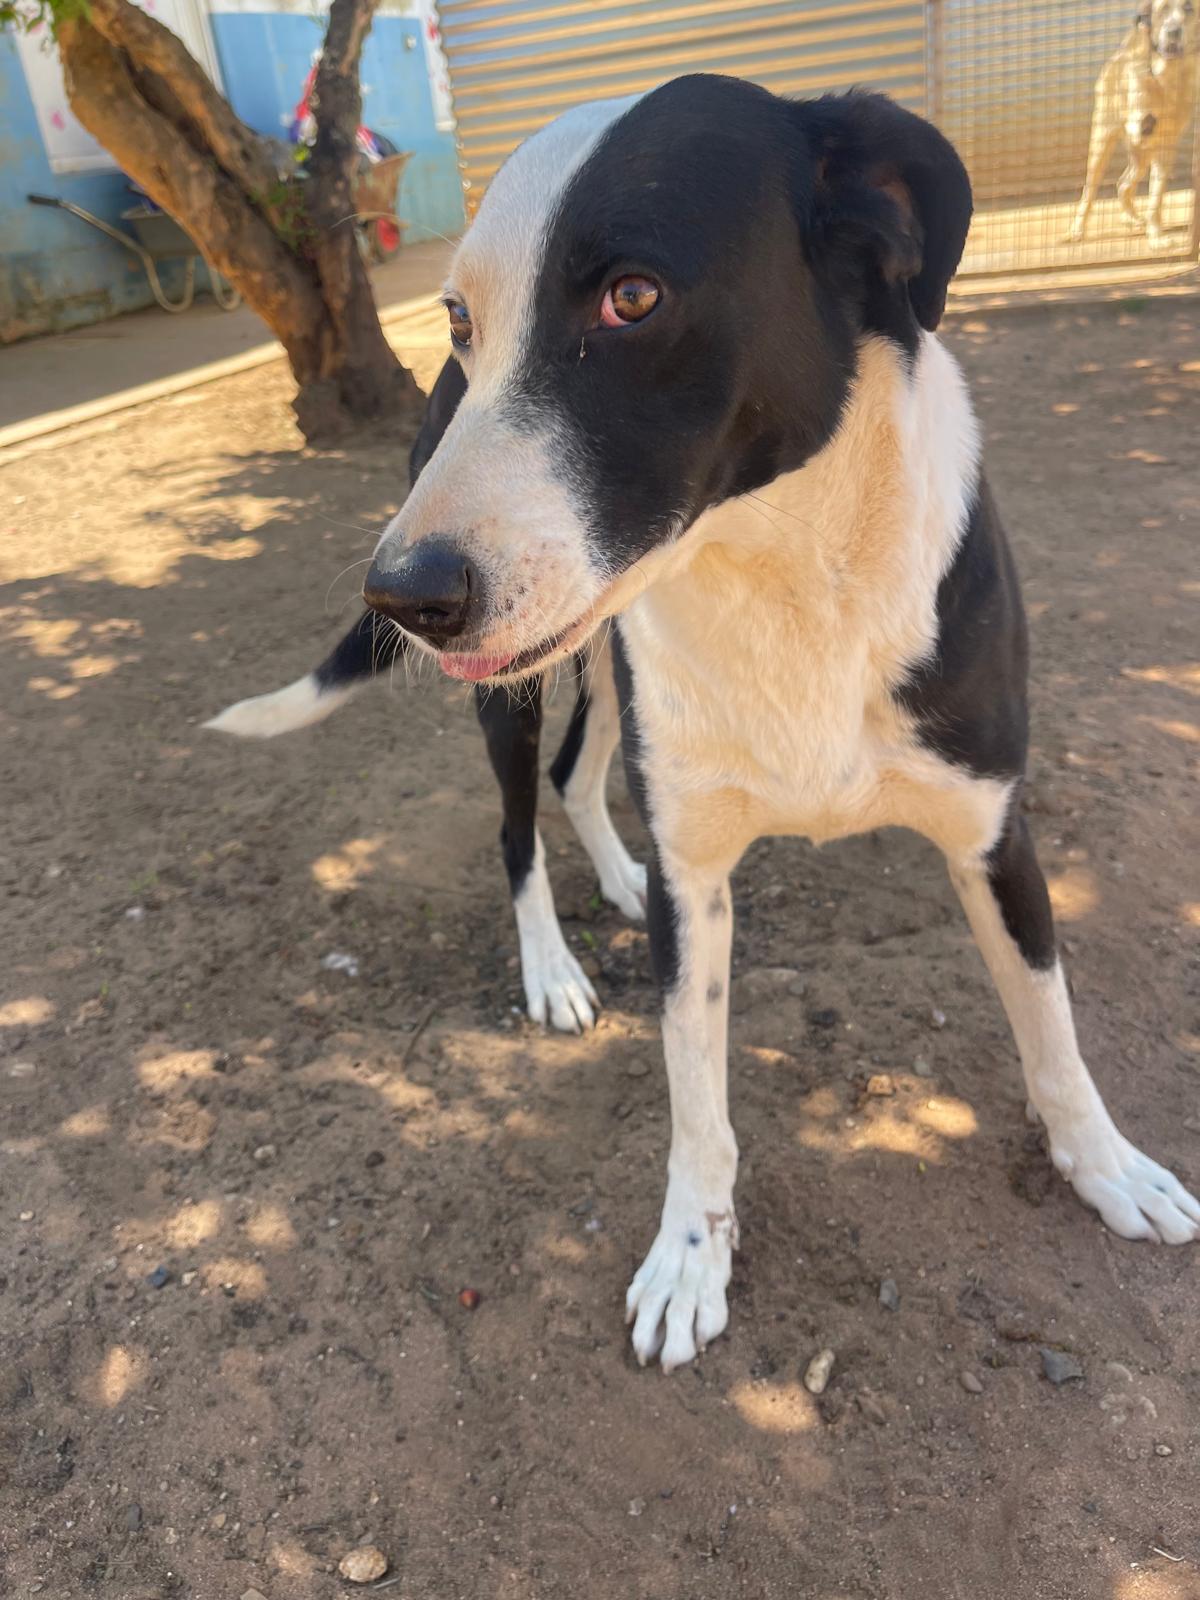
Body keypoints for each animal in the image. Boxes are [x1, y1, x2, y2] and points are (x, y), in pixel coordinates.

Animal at [210, 76, 1199, 1371]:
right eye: (464, 318)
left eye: (633, 297)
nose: (403, 596)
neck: (789, 575)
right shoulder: (701, 880)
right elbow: (696, 1096)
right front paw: (691, 1255)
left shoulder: (993, 833)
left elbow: (1050, 1022)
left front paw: (1105, 1164)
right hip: (517, 686)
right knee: (518, 826)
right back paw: (554, 966)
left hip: (589, 656)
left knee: (578, 777)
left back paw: (616, 878)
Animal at [1069, 1, 1199, 247]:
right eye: (1163, 9)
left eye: (1188, 8)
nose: (1173, 31)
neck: (1168, 77)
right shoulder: (1137, 120)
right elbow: (1139, 120)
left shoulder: (1165, 147)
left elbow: (1156, 199)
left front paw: (1156, 237)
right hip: (1102, 144)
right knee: (1089, 191)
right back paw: (1077, 230)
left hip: (1142, 158)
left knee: (1124, 184)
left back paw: (1133, 219)